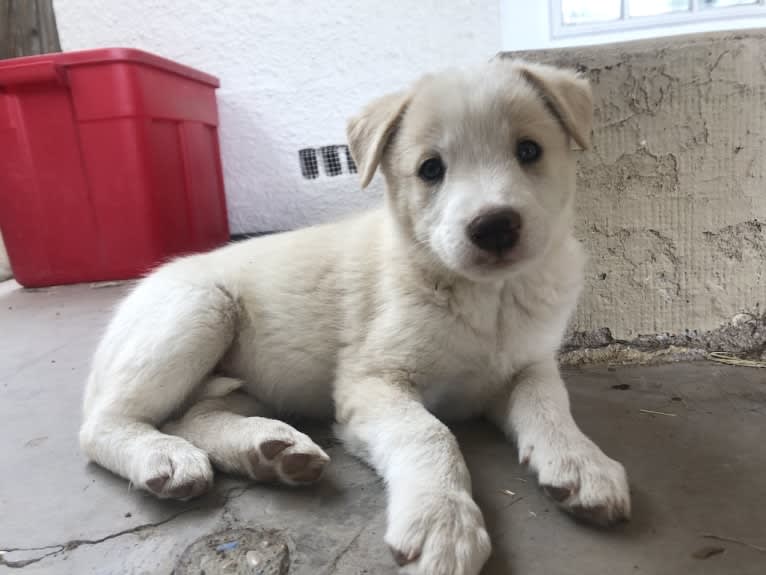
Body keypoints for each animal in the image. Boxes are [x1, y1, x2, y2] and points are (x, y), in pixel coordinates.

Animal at [79, 59, 632, 575]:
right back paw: (163, 457)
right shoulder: (371, 383)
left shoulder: (529, 365)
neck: (486, 297)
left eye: (529, 151)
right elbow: (430, 434)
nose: (494, 226)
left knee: (194, 414)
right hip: (198, 312)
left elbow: (550, 407)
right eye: (431, 169)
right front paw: (442, 522)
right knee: (103, 425)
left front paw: (582, 463)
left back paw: (269, 451)